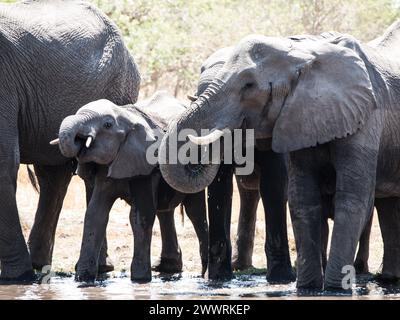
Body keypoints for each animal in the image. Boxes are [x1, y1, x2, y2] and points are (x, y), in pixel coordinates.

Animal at [54, 90, 208, 280]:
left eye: (107, 124)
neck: (128, 116)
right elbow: (95, 213)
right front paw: (83, 278)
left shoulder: (146, 165)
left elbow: (141, 216)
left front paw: (140, 279)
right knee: (165, 211)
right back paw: (168, 267)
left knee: (195, 211)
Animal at [159, 19, 400, 290]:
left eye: (249, 85)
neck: (301, 56)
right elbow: (299, 198)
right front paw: (305, 289)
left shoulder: (365, 115)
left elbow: (344, 197)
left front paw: (325, 288)